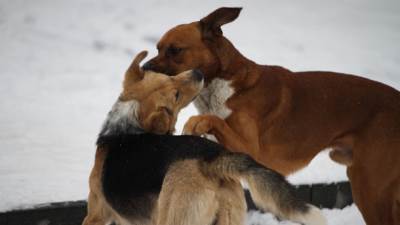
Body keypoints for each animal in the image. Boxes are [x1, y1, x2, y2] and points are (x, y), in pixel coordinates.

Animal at [81, 51, 324, 225]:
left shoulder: (97, 214)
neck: (126, 125)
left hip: (174, 217)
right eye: (175, 93)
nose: (198, 72)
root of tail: (211, 159)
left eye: (170, 78)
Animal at [142, 7, 398, 225]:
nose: (143, 69)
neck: (222, 83)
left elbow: (215, 121)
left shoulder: (251, 150)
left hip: (369, 188)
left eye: (175, 50)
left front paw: (195, 123)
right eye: (157, 48)